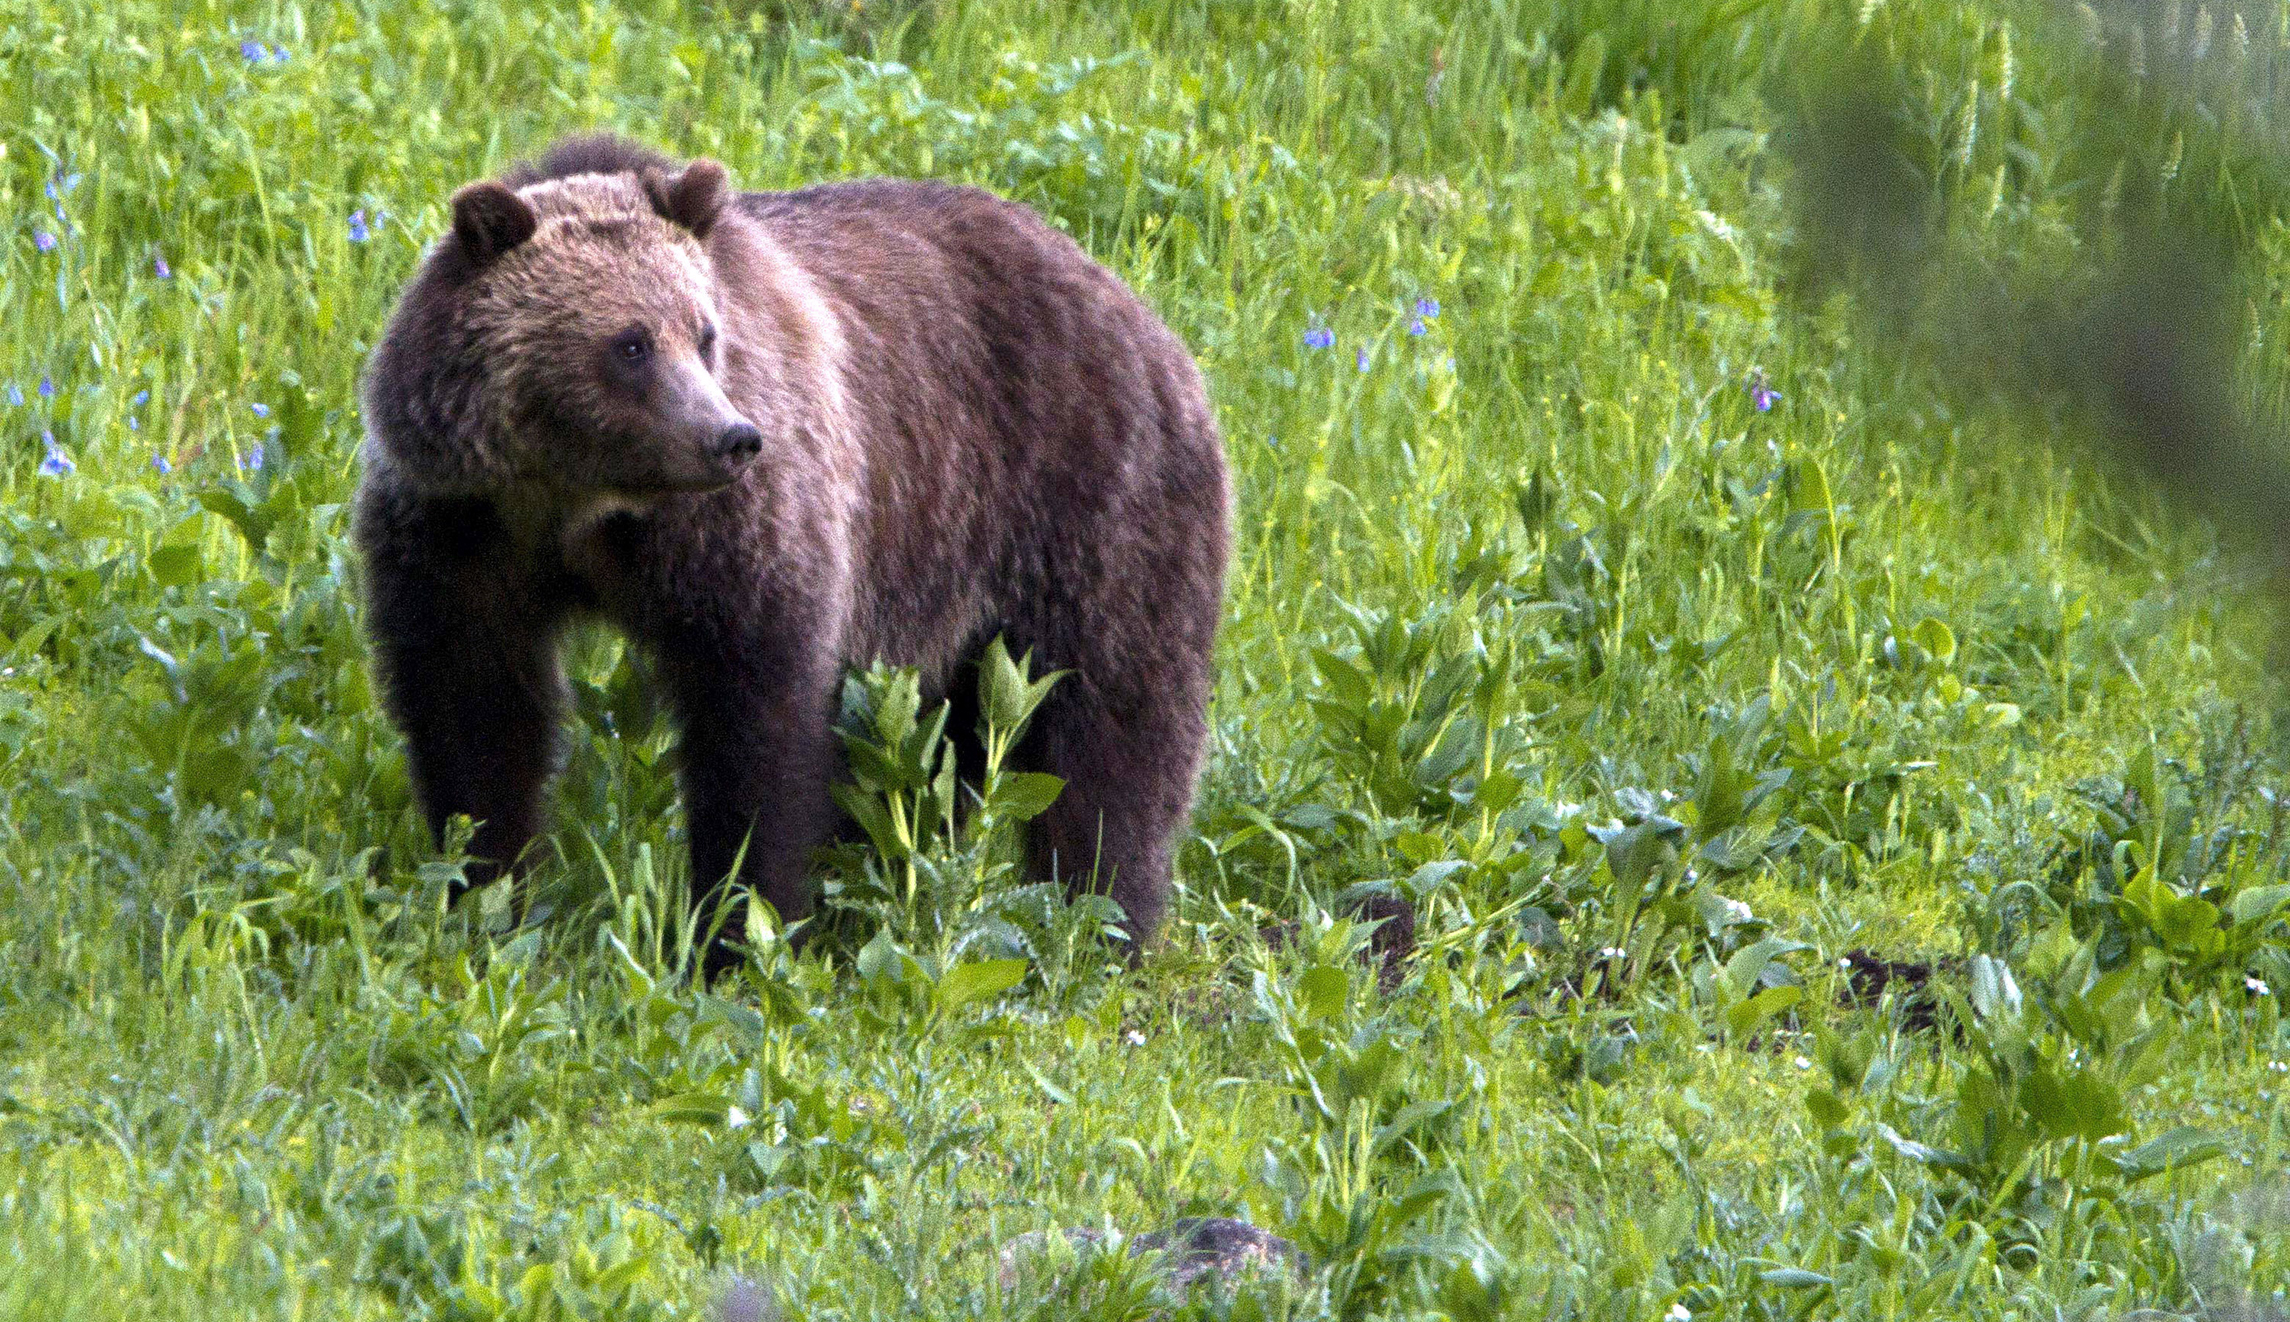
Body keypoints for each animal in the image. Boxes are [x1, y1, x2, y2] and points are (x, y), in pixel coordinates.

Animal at [355, 135, 1229, 975]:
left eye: (705, 334)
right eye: (631, 344)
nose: (730, 437)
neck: (579, 503)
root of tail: (1135, 304)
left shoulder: (736, 537)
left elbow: (757, 726)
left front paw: (737, 932)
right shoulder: (462, 533)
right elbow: (475, 711)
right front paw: (485, 893)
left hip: (1086, 503)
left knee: (1114, 724)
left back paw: (1101, 921)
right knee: (944, 745)